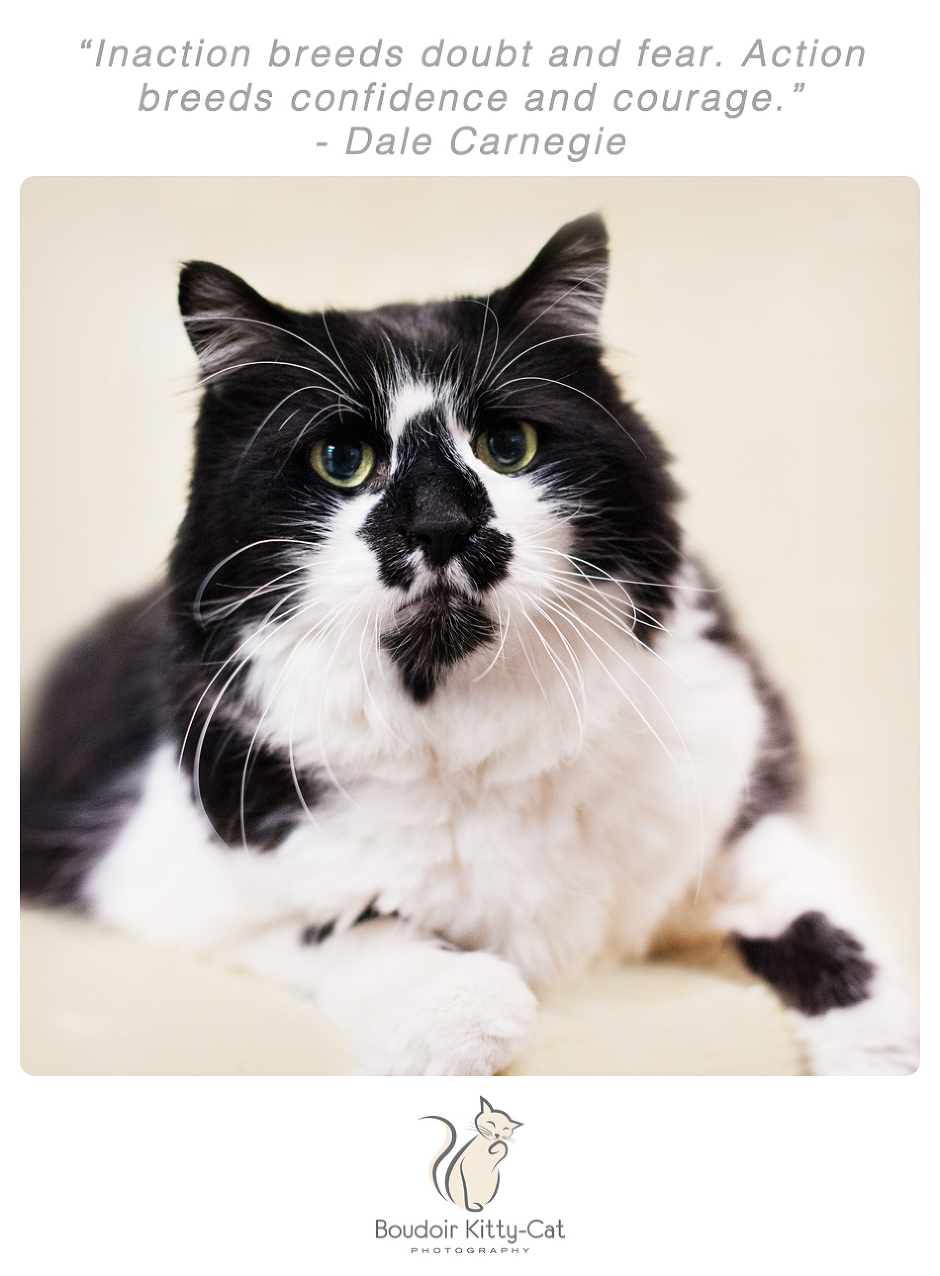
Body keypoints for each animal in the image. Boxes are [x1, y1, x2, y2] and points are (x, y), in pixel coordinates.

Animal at [20, 216, 918, 1076]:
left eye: (508, 446)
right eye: (343, 460)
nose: (441, 525)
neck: (467, 732)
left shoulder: (737, 812)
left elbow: (825, 918)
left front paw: (883, 1044)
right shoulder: (163, 880)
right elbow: (345, 922)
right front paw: (458, 1007)